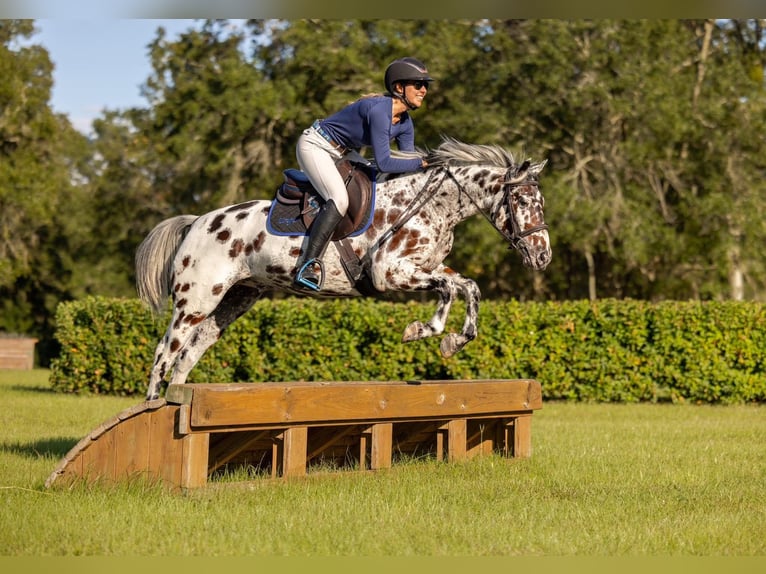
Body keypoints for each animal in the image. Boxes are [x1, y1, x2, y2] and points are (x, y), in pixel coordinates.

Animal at [135, 137, 551, 400]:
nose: (543, 257)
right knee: (164, 351)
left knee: (191, 352)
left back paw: (175, 405)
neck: (438, 205)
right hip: (195, 300)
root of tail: (198, 222)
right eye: (521, 201)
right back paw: (152, 407)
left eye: (540, 202)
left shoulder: (429, 267)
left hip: (237, 297)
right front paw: (420, 331)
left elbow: (468, 287)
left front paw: (453, 342)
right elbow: (448, 291)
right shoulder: (391, 273)